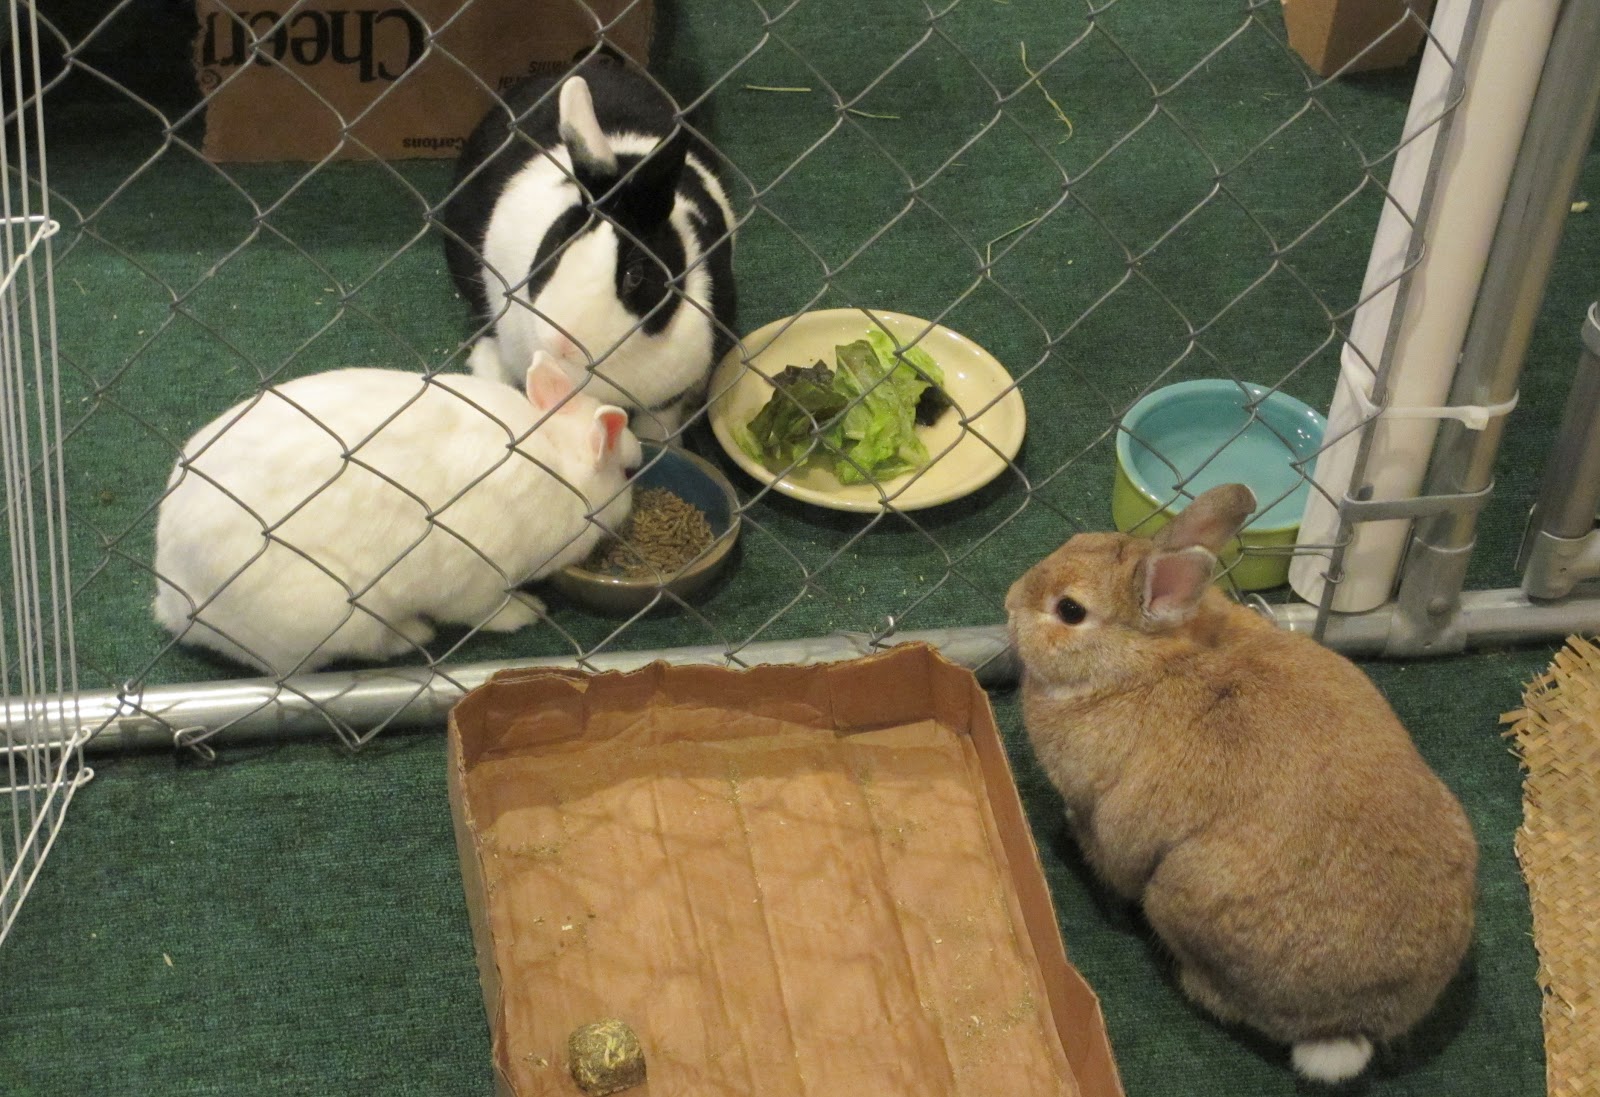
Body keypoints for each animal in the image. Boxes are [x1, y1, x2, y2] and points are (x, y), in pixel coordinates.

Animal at [152, 354, 641, 677]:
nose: (632, 509)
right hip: (339, 616)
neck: (557, 463)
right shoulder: (478, 581)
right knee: (368, 649)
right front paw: (528, 612)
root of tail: (176, 603)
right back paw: (413, 634)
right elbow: (486, 613)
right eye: (629, 472)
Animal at [1005, 483, 1477, 1085]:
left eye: (1069, 611)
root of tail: (1355, 1023)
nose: (1008, 601)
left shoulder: (1105, 817)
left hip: (1176, 895)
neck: (1141, 661)